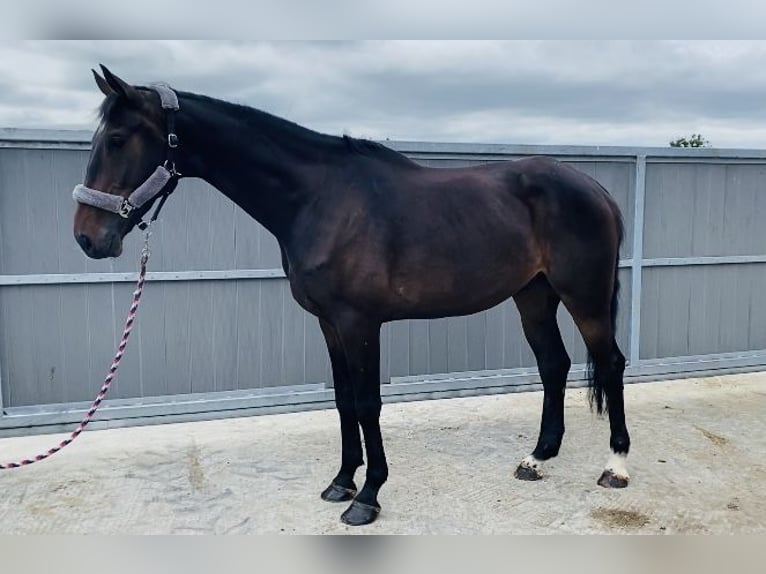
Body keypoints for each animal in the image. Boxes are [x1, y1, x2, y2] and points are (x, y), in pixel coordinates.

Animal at [75, 65, 632, 528]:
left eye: (118, 139)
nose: (86, 238)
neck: (320, 200)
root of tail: (596, 189)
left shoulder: (359, 322)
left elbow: (367, 403)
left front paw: (368, 497)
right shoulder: (328, 322)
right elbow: (344, 402)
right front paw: (342, 482)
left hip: (584, 296)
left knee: (610, 364)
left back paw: (617, 466)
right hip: (533, 297)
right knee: (554, 365)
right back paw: (536, 458)